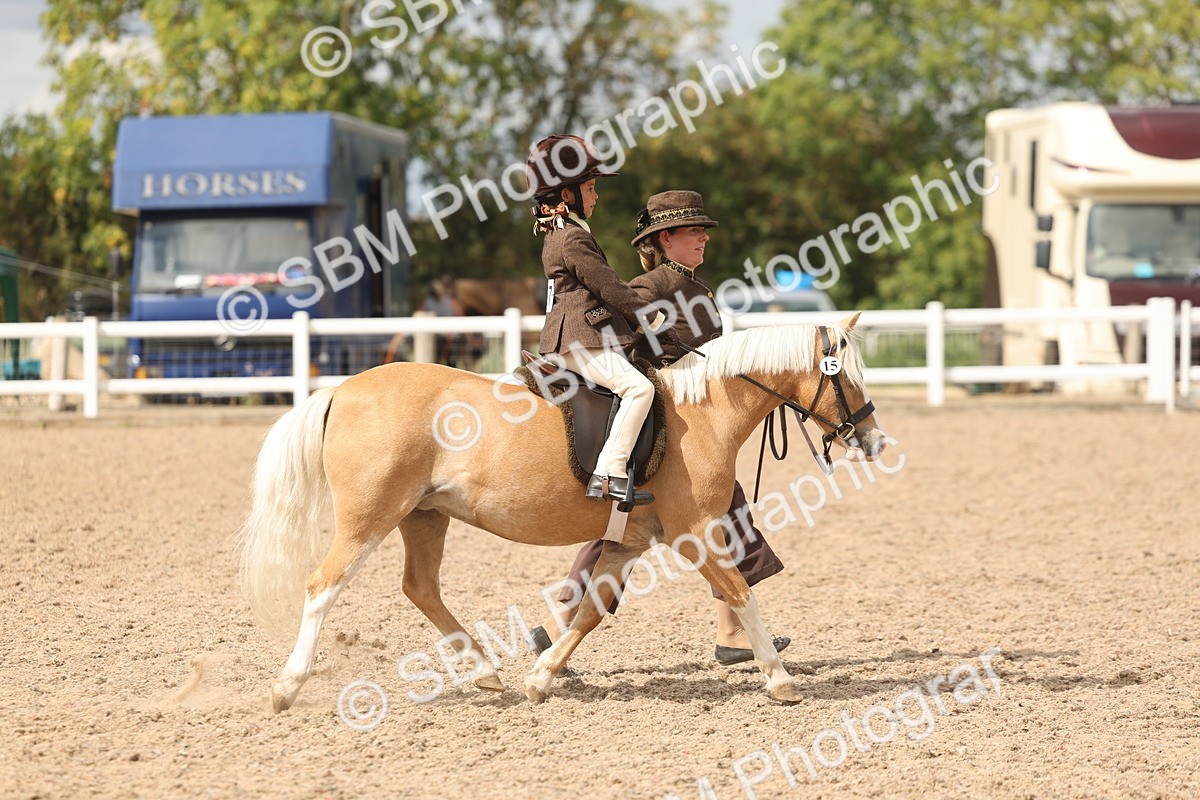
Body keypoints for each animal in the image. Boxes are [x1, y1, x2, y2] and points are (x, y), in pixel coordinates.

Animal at [237, 315, 887, 711]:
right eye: (848, 379)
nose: (874, 440)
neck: (700, 411)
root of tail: (342, 389)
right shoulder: (696, 534)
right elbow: (740, 593)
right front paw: (780, 679)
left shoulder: (628, 543)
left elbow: (592, 612)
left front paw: (540, 677)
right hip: (369, 517)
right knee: (323, 585)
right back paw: (288, 686)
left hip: (423, 516)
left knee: (420, 587)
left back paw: (486, 672)